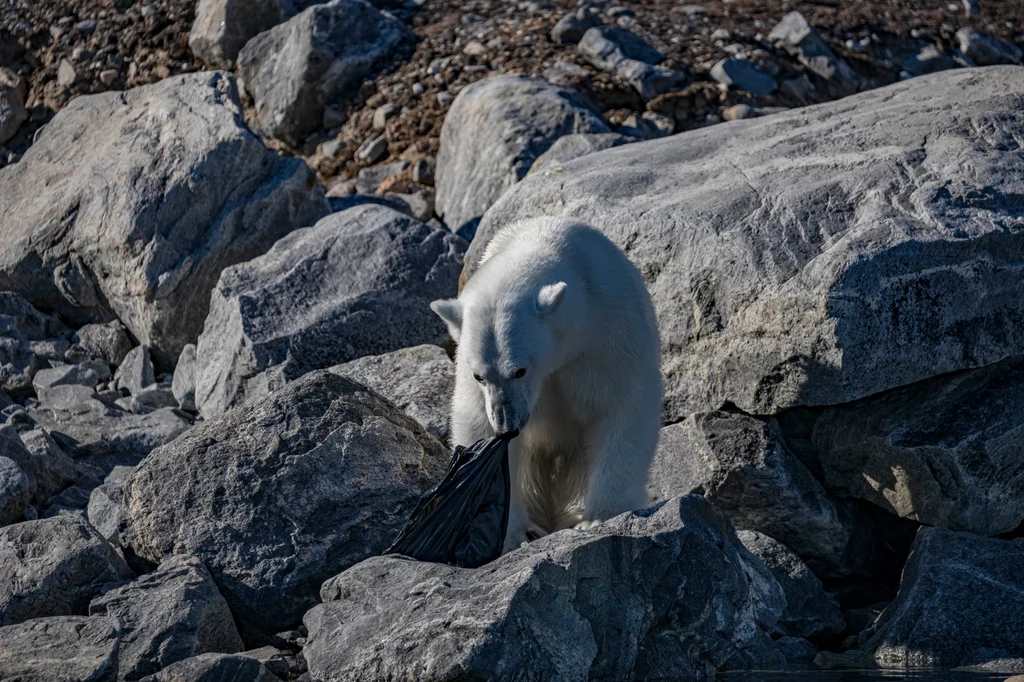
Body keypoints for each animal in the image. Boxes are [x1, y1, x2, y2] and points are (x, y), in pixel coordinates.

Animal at [428, 215, 659, 548]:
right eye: (479, 375)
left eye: (519, 370)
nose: (506, 426)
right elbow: (478, 425)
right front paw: (514, 534)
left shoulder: (608, 337)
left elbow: (622, 406)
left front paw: (598, 517)